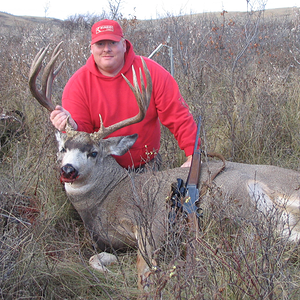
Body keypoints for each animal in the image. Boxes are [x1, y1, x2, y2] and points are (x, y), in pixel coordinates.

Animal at [28, 42, 300, 288]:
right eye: (63, 148)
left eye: (94, 152)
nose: (68, 170)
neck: (106, 197)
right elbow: (95, 258)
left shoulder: (153, 221)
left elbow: (144, 265)